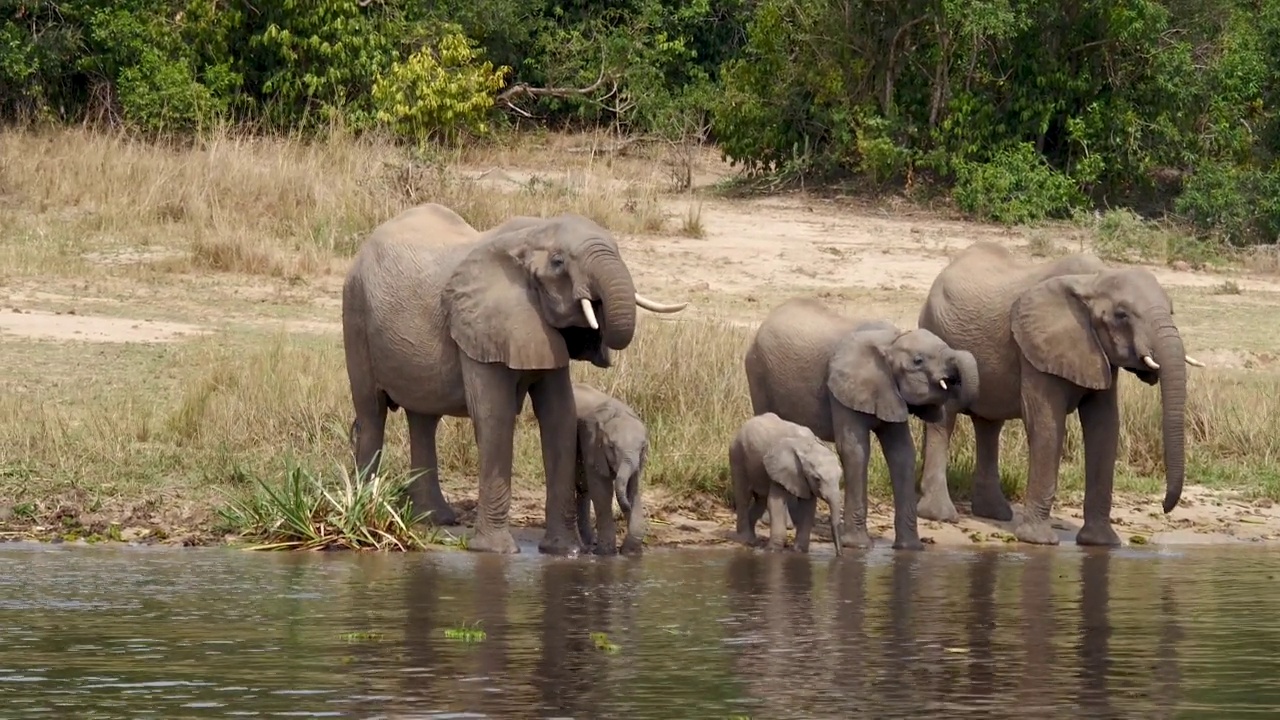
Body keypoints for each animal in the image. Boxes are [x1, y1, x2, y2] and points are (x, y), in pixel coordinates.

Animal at [573, 381, 650, 556]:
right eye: (611, 447)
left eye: (642, 448)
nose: (627, 507)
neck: (618, 413)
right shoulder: (592, 443)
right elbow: (602, 491)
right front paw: (605, 553)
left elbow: (633, 488)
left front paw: (630, 552)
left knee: (583, 488)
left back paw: (590, 541)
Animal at [737, 409, 844, 556]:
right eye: (817, 479)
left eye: (840, 477)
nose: (840, 554)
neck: (807, 446)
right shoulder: (781, 468)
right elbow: (775, 503)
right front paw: (773, 551)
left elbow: (808, 506)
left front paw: (800, 551)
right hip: (737, 454)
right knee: (743, 496)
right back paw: (746, 540)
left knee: (760, 500)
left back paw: (753, 540)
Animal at [921, 240, 1198, 543]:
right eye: (1121, 315)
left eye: (1171, 311)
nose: (1165, 507)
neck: (1095, 279)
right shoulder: (1035, 349)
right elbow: (1046, 425)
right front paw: (1038, 540)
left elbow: (1105, 426)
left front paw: (1101, 543)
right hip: (937, 337)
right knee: (945, 420)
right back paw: (940, 515)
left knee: (989, 424)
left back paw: (994, 514)